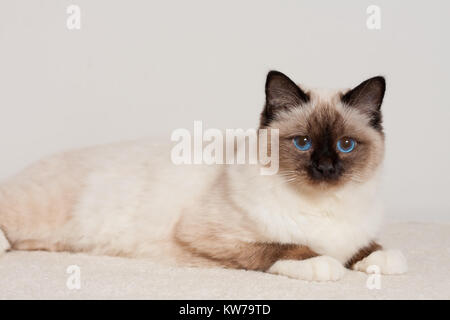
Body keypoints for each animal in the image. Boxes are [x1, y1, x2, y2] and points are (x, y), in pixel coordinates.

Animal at [0, 72, 408, 280]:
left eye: (345, 145)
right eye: (303, 142)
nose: (324, 168)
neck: (323, 206)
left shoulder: (356, 233)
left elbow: (368, 247)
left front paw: (380, 260)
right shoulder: (209, 236)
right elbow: (285, 246)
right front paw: (324, 264)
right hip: (32, 210)